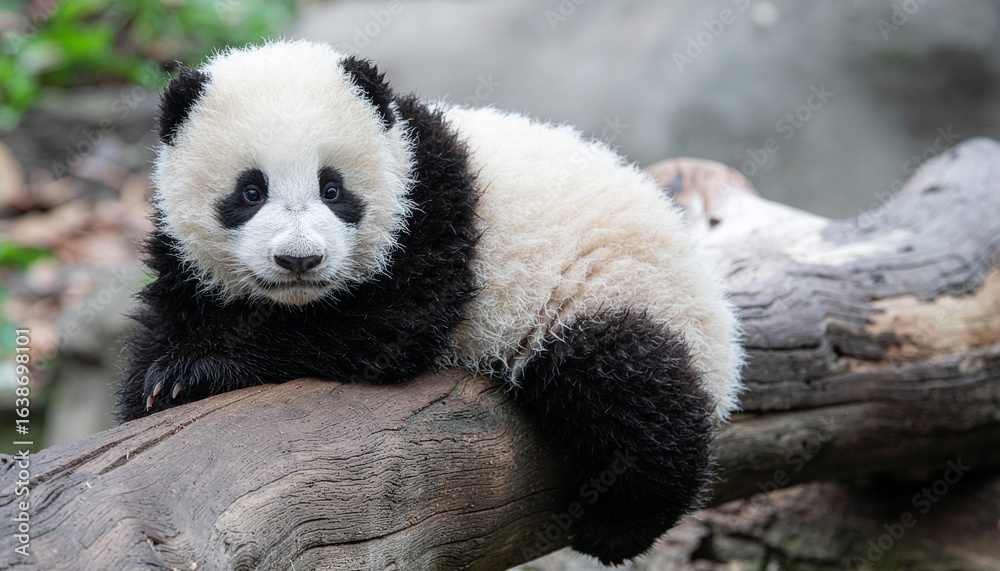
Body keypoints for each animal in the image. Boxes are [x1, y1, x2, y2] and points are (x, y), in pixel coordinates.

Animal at [119, 40, 743, 565]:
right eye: (251, 191)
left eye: (333, 188)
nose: (300, 260)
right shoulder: (189, 262)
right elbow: (174, 312)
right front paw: (153, 388)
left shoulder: (430, 211)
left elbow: (384, 328)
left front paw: (194, 372)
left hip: (617, 290)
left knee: (626, 381)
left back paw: (623, 521)